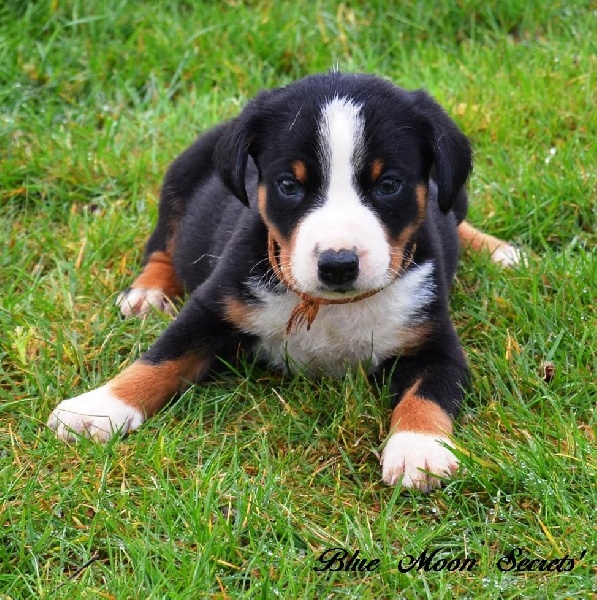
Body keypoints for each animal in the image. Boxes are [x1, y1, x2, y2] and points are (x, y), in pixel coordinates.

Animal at [48, 72, 521, 491]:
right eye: (289, 185)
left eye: (389, 184)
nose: (337, 264)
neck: (332, 308)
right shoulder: (213, 305)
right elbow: (160, 359)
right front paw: (97, 409)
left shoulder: (434, 341)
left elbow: (428, 394)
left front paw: (417, 449)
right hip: (179, 178)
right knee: (161, 245)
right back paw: (147, 293)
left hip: (455, 194)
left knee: (454, 218)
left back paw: (499, 251)